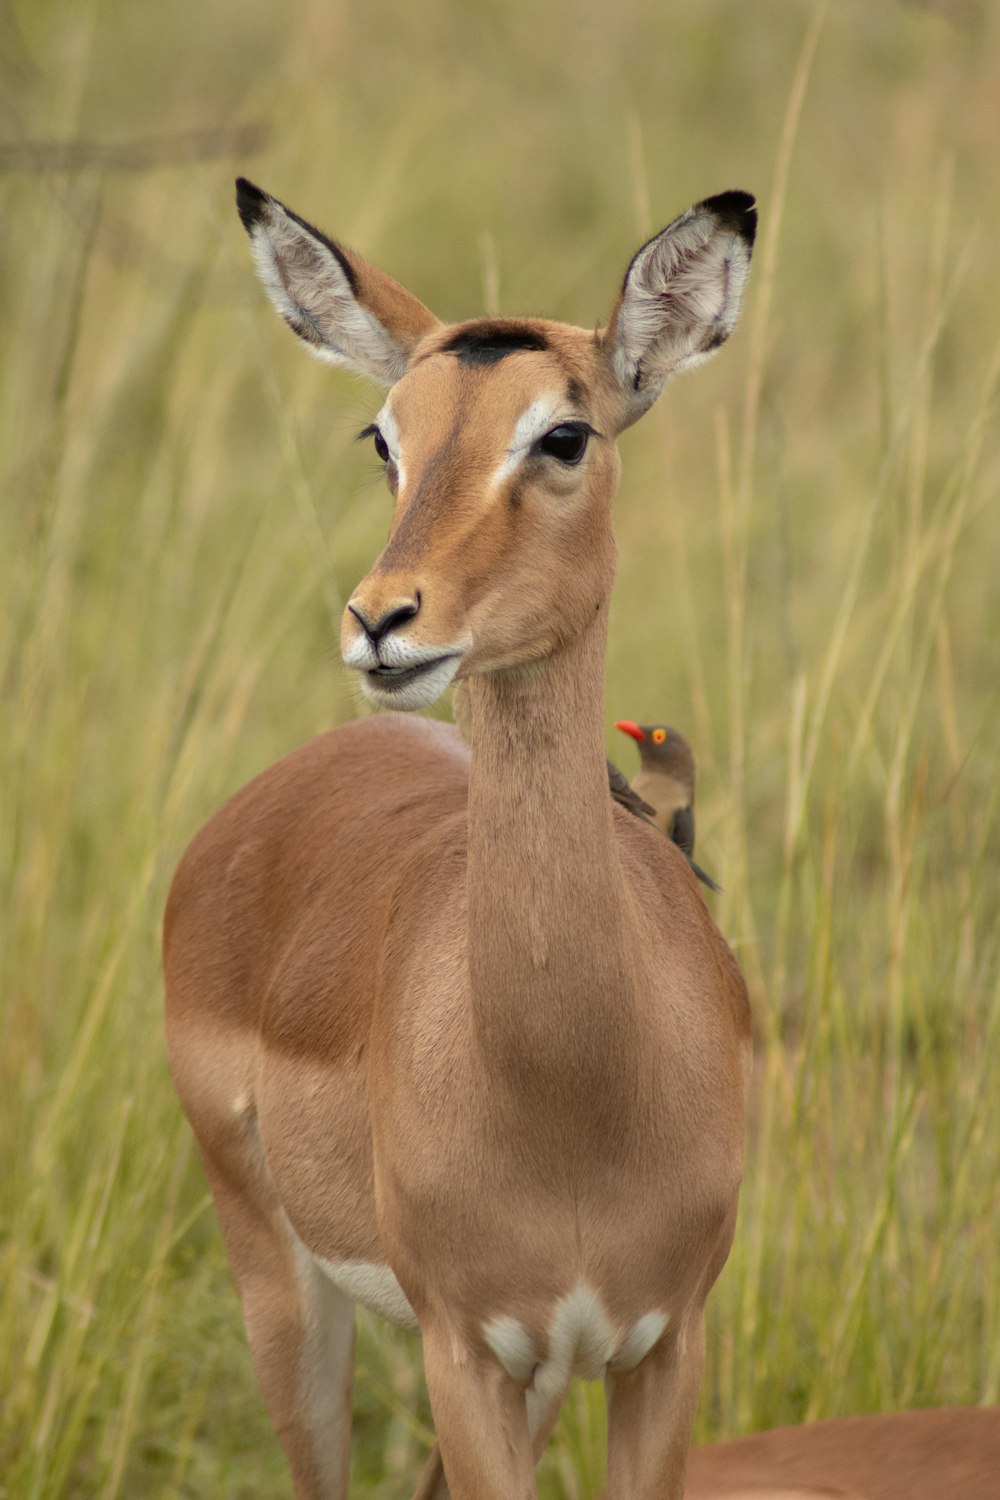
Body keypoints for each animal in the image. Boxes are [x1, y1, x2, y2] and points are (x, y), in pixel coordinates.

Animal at [162, 178, 758, 1500]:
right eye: (383, 437)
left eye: (564, 435)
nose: (383, 620)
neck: (575, 1091)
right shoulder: (463, 1349)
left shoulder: (658, 1349)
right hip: (281, 1281)